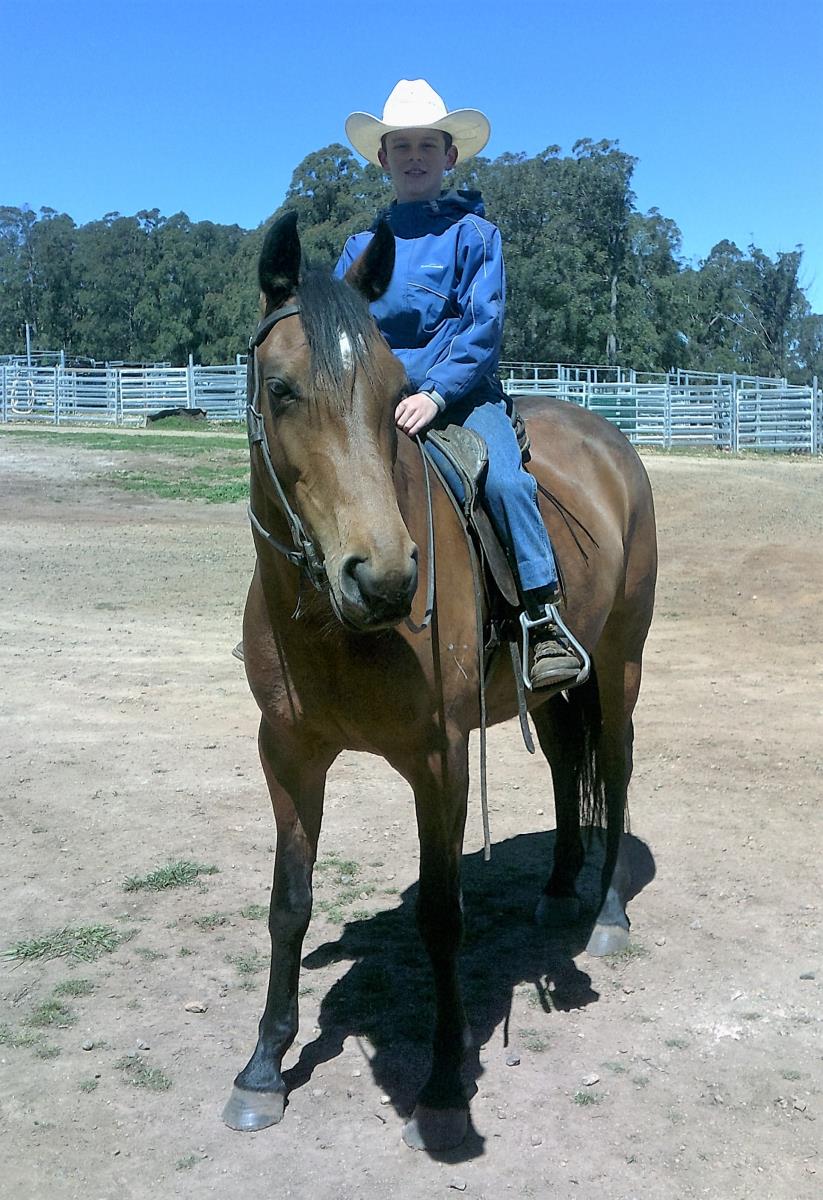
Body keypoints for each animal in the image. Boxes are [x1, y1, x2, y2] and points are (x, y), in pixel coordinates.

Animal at [221, 211, 657, 1151]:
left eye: (394, 393)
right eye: (280, 389)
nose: (383, 578)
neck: (336, 630)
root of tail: (609, 440)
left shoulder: (440, 758)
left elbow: (441, 915)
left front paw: (445, 1083)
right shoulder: (287, 755)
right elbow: (287, 904)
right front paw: (263, 1067)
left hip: (621, 663)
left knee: (613, 767)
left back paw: (606, 914)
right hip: (550, 689)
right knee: (566, 765)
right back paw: (558, 888)